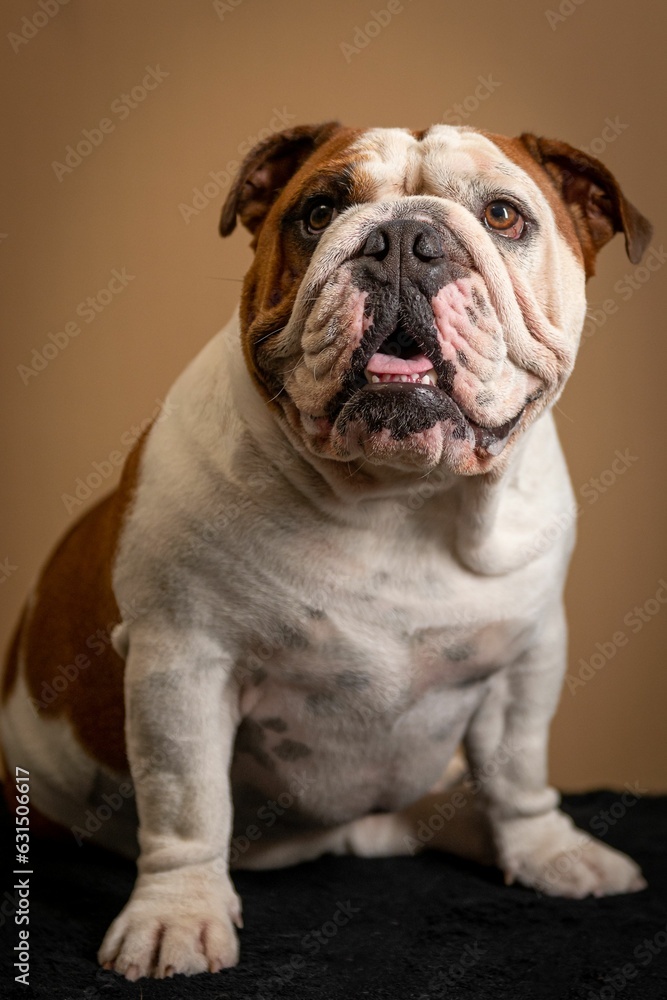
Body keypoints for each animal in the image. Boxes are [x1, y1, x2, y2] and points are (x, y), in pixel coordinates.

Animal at [1, 123, 652, 976]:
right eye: (317, 211)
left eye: (504, 215)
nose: (405, 240)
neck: (401, 501)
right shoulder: (182, 660)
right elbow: (188, 803)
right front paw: (177, 915)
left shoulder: (527, 656)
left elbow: (517, 771)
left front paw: (546, 850)